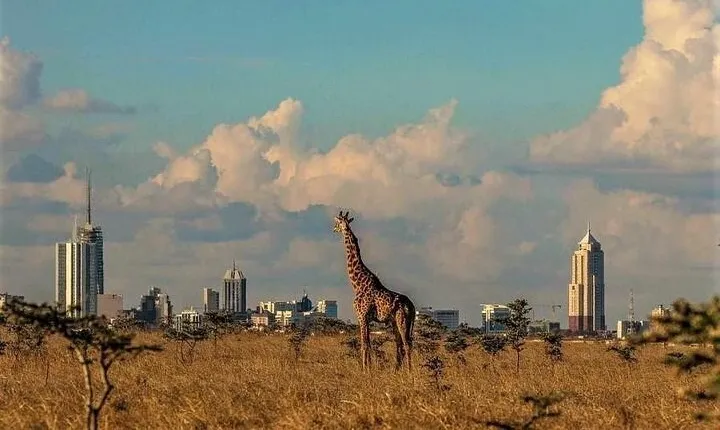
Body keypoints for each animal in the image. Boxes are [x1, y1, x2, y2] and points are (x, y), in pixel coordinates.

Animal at [333, 210, 416, 371]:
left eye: (338, 222)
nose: (334, 229)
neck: (358, 284)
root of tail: (412, 307)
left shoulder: (362, 316)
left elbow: (364, 345)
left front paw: (365, 370)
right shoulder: (366, 318)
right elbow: (368, 344)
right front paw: (368, 368)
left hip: (402, 320)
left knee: (407, 344)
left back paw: (409, 371)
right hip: (396, 322)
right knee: (400, 344)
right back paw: (396, 370)